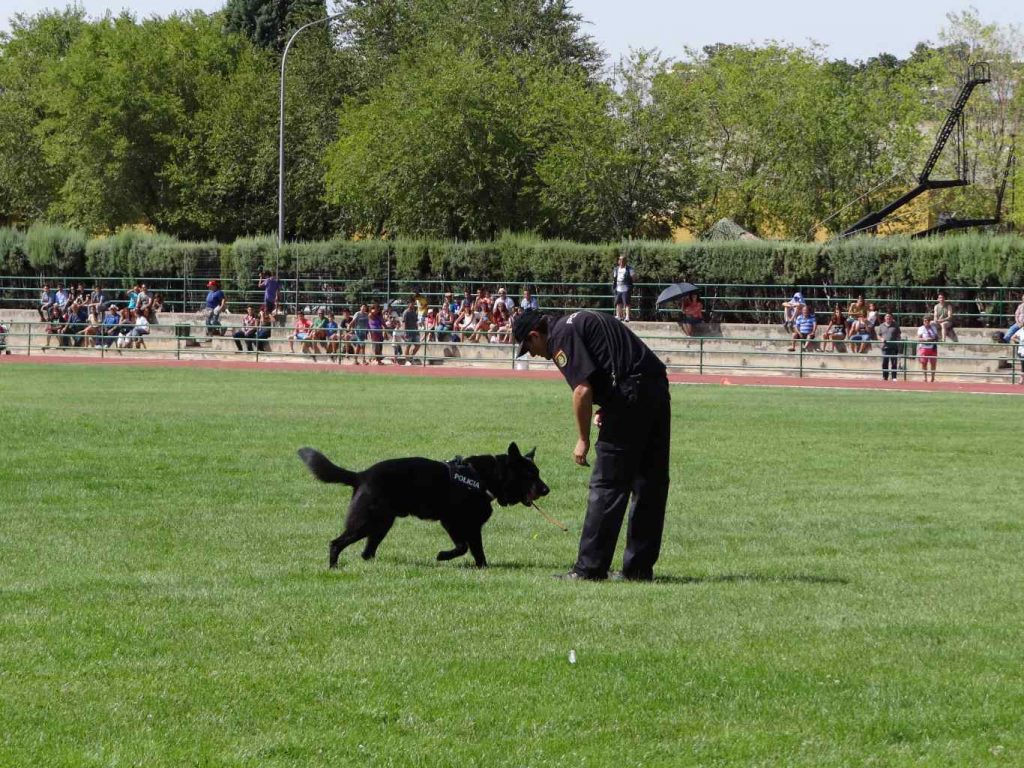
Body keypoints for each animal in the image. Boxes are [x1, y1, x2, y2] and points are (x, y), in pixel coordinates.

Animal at [299, 442, 548, 569]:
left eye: (537, 473)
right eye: (531, 475)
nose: (547, 490)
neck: (484, 477)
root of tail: (361, 475)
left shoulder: (470, 527)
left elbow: (476, 550)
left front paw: (483, 568)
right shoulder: (453, 522)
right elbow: (463, 547)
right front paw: (442, 556)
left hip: (381, 525)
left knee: (366, 552)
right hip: (365, 522)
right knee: (336, 543)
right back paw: (333, 567)